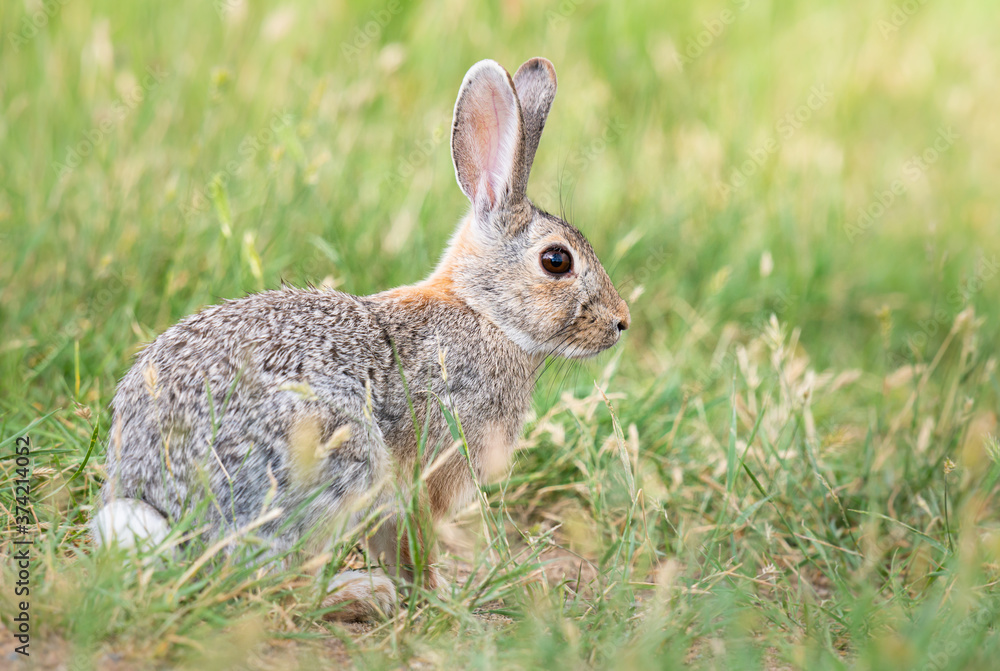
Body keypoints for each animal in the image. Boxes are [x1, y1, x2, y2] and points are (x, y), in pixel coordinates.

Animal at [92, 57, 631, 621]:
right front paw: (437, 599)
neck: (482, 310)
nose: (622, 321)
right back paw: (360, 593)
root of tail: (162, 501)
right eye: (557, 261)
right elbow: (416, 547)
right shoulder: (425, 471)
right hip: (333, 463)